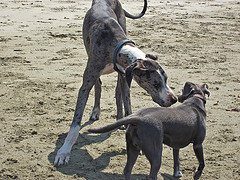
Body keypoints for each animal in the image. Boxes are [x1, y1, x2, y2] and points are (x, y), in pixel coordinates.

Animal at [54, 0, 176, 166]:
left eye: (166, 79)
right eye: (156, 84)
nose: (174, 99)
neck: (116, 47)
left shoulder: (126, 77)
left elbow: (127, 106)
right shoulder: (86, 84)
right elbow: (76, 122)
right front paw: (64, 151)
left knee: (118, 92)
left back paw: (120, 119)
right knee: (98, 85)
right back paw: (96, 111)